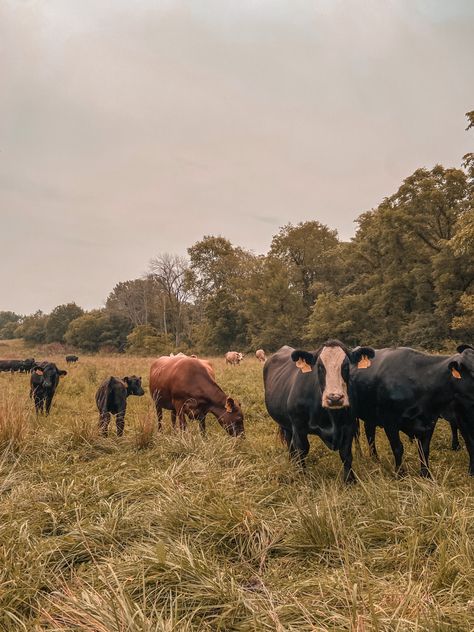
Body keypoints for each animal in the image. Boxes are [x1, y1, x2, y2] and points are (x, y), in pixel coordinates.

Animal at [262, 340, 374, 484]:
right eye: (320, 367)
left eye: (346, 366)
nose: (335, 398)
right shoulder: (298, 427)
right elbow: (302, 451)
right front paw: (302, 477)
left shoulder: (349, 425)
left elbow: (346, 454)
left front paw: (350, 481)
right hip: (285, 424)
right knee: (291, 446)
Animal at [354, 344, 474, 476]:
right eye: (473, 372)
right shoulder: (390, 422)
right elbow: (397, 448)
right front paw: (400, 474)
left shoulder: (430, 421)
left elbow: (424, 449)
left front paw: (426, 474)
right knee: (357, 433)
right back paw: (360, 456)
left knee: (369, 432)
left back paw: (375, 459)